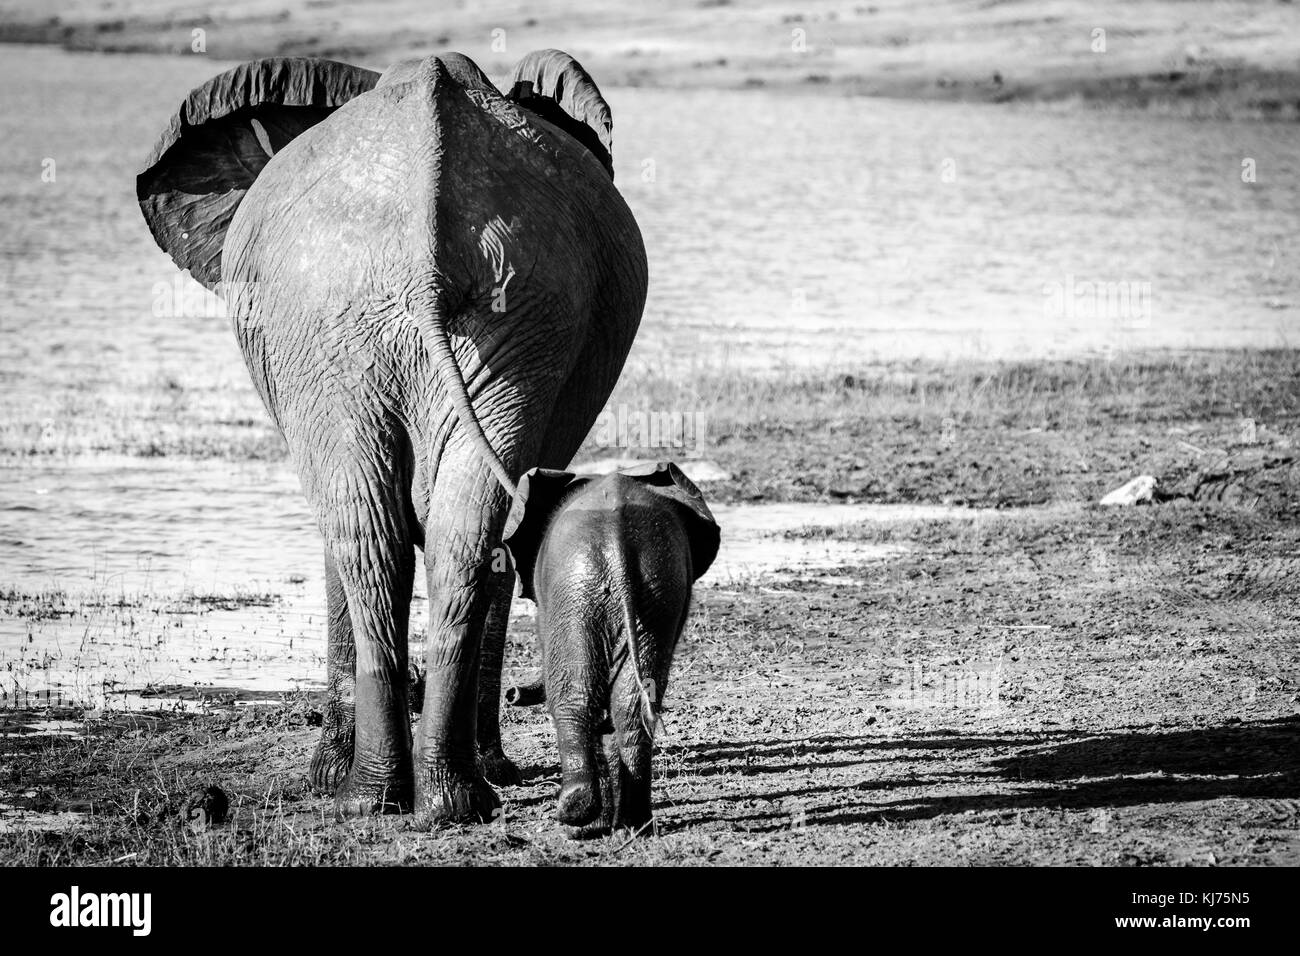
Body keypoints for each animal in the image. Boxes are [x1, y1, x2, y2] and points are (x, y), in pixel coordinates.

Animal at [137, 50, 650, 822]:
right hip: (395, 316)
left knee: (389, 531)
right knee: (426, 533)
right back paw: (422, 798)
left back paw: (397, 793)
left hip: (440, 316)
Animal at [501, 463, 722, 832]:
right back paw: (635, 825)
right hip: (658, 590)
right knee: (634, 705)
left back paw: (575, 816)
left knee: (574, 696)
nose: (511, 693)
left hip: (574, 590)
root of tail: (619, 545)